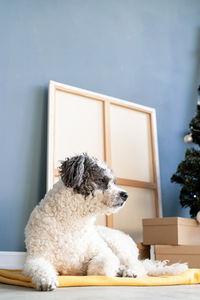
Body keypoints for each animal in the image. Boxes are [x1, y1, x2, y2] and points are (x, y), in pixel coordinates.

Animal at [23, 154, 188, 290]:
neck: (72, 223)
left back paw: (128, 271)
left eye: (114, 181)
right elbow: (38, 267)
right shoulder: (36, 258)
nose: (125, 195)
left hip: (118, 246)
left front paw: (106, 271)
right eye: (102, 179)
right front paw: (46, 280)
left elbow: (100, 267)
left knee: (139, 266)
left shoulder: (105, 254)